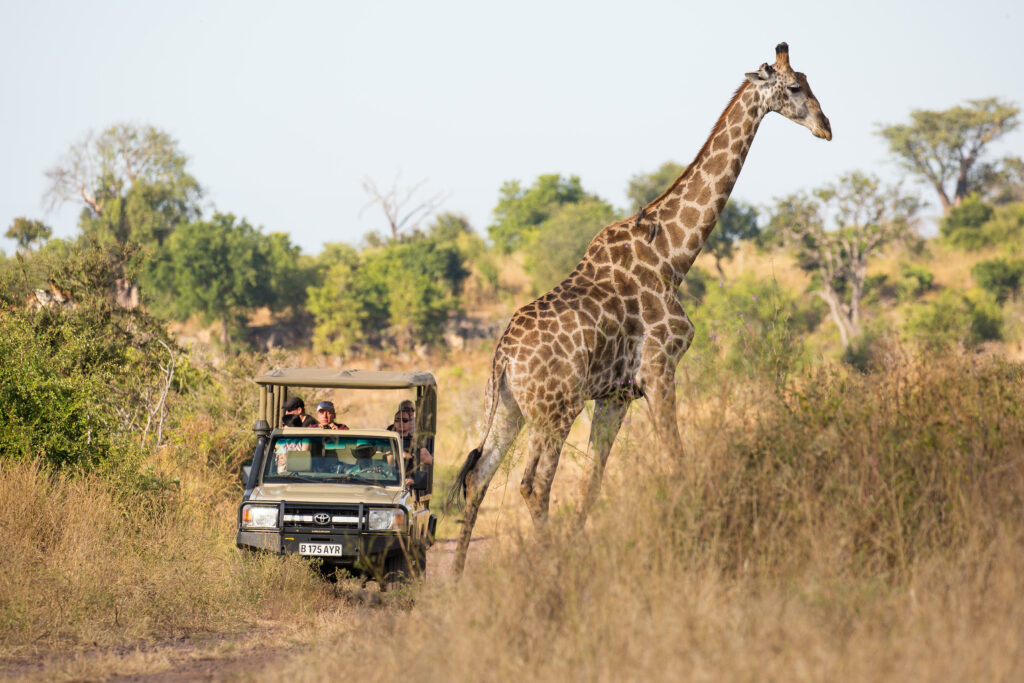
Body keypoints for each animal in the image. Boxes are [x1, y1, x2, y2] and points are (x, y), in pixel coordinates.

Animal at [448, 42, 831, 577]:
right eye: (795, 87)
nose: (826, 127)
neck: (674, 254)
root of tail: (503, 355)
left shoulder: (616, 395)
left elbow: (594, 479)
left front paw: (581, 548)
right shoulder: (659, 369)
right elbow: (676, 460)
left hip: (510, 407)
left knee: (479, 477)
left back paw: (456, 582)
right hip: (555, 408)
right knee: (533, 483)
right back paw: (545, 570)